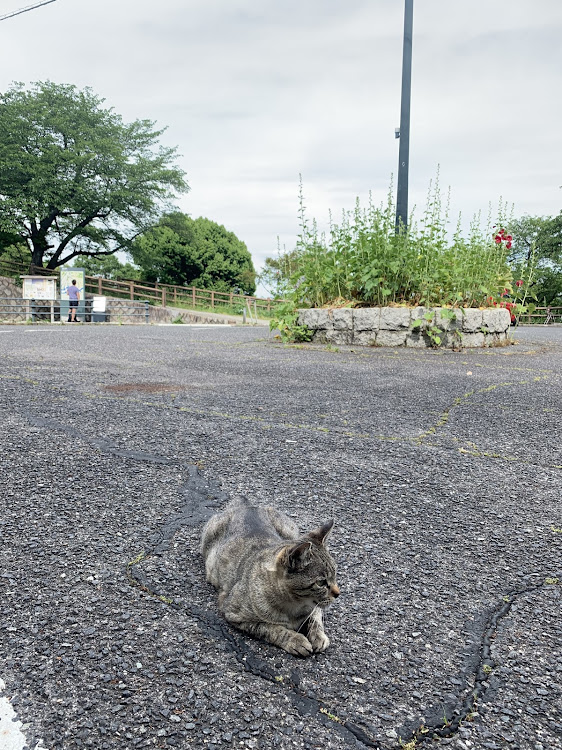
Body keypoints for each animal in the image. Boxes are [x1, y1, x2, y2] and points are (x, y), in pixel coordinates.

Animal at [202, 500, 340, 656]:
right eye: (321, 582)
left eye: (335, 574)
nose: (338, 593)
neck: (295, 606)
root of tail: (247, 505)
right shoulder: (234, 614)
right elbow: (272, 629)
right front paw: (295, 639)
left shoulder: (314, 607)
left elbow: (315, 618)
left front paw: (318, 636)